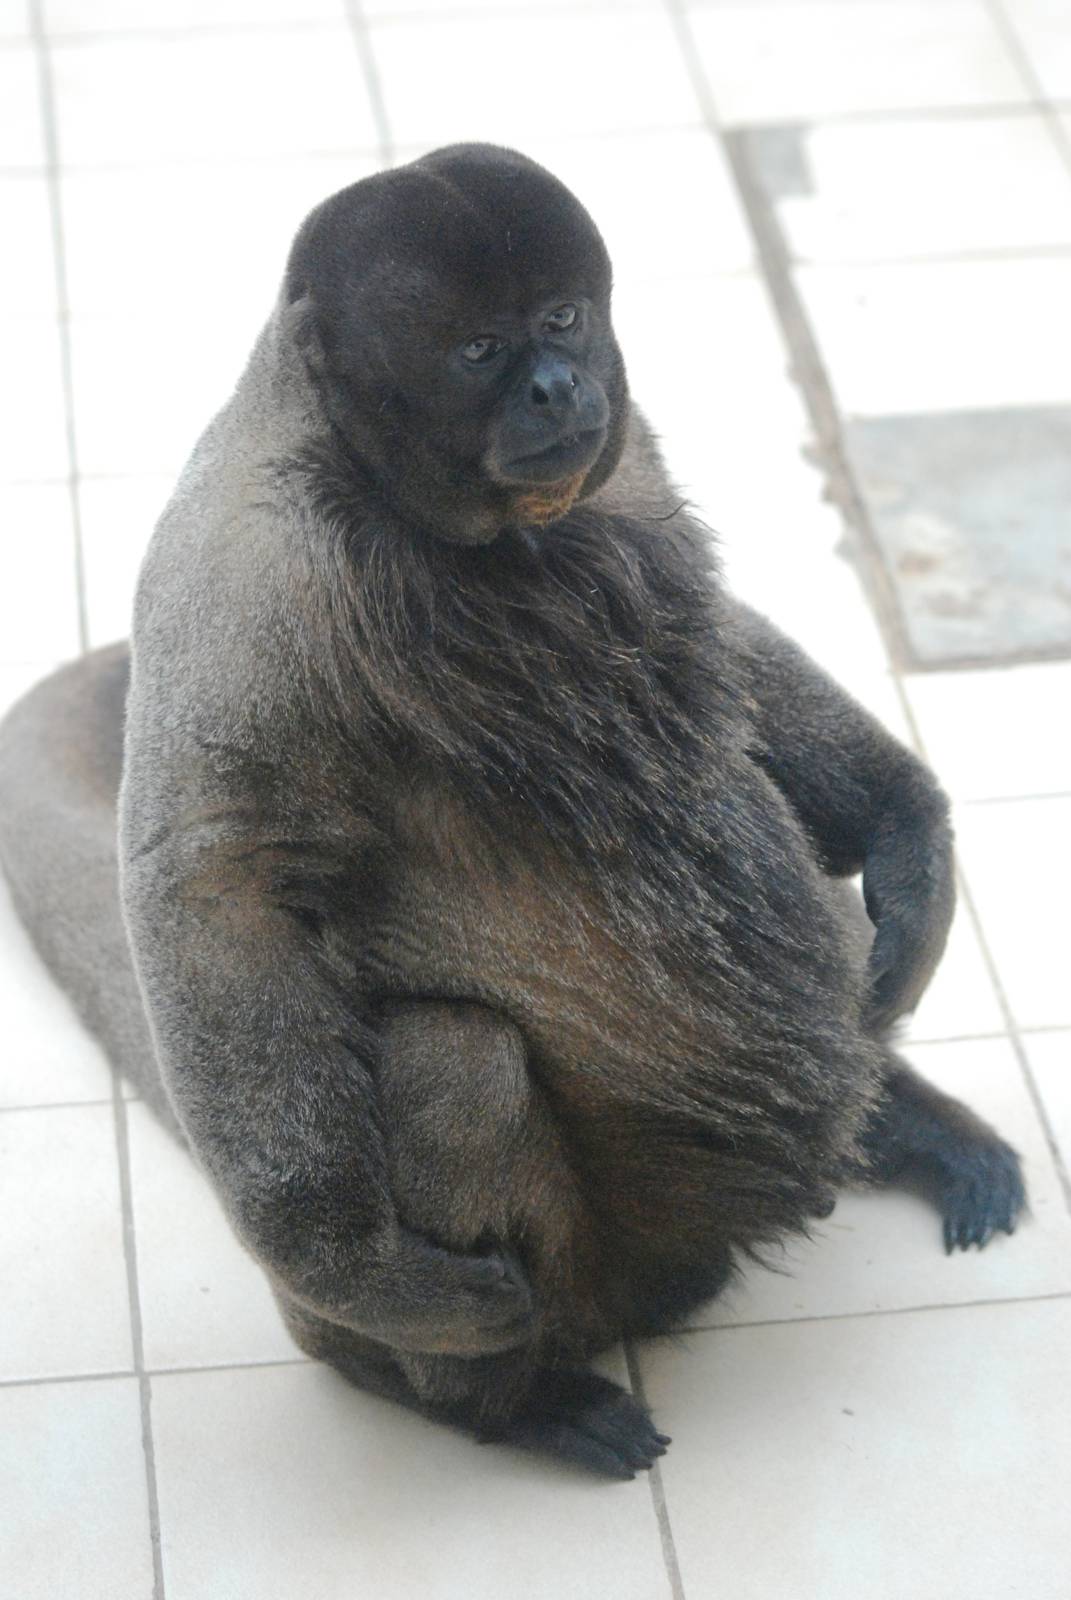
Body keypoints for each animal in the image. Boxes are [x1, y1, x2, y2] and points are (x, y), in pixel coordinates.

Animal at [0, 144, 1025, 1480]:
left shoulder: (623, 455)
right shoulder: (243, 577)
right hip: (531, 1285)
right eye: (479, 349)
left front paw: (911, 832)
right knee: (459, 1064)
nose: (555, 385)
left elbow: (711, 637)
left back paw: (908, 1123)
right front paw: (364, 1266)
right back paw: (509, 1399)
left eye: (564, 318)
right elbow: (208, 881)